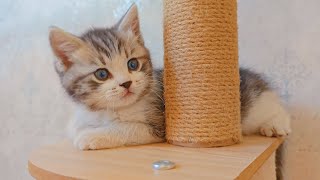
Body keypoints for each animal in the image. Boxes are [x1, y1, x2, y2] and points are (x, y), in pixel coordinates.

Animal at [49, 4, 290, 150]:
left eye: (132, 64)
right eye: (101, 74)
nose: (126, 83)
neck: (109, 111)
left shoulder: (158, 124)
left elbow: (128, 128)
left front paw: (91, 136)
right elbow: (75, 126)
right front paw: (80, 130)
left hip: (255, 105)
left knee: (275, 107)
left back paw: (276, 124)